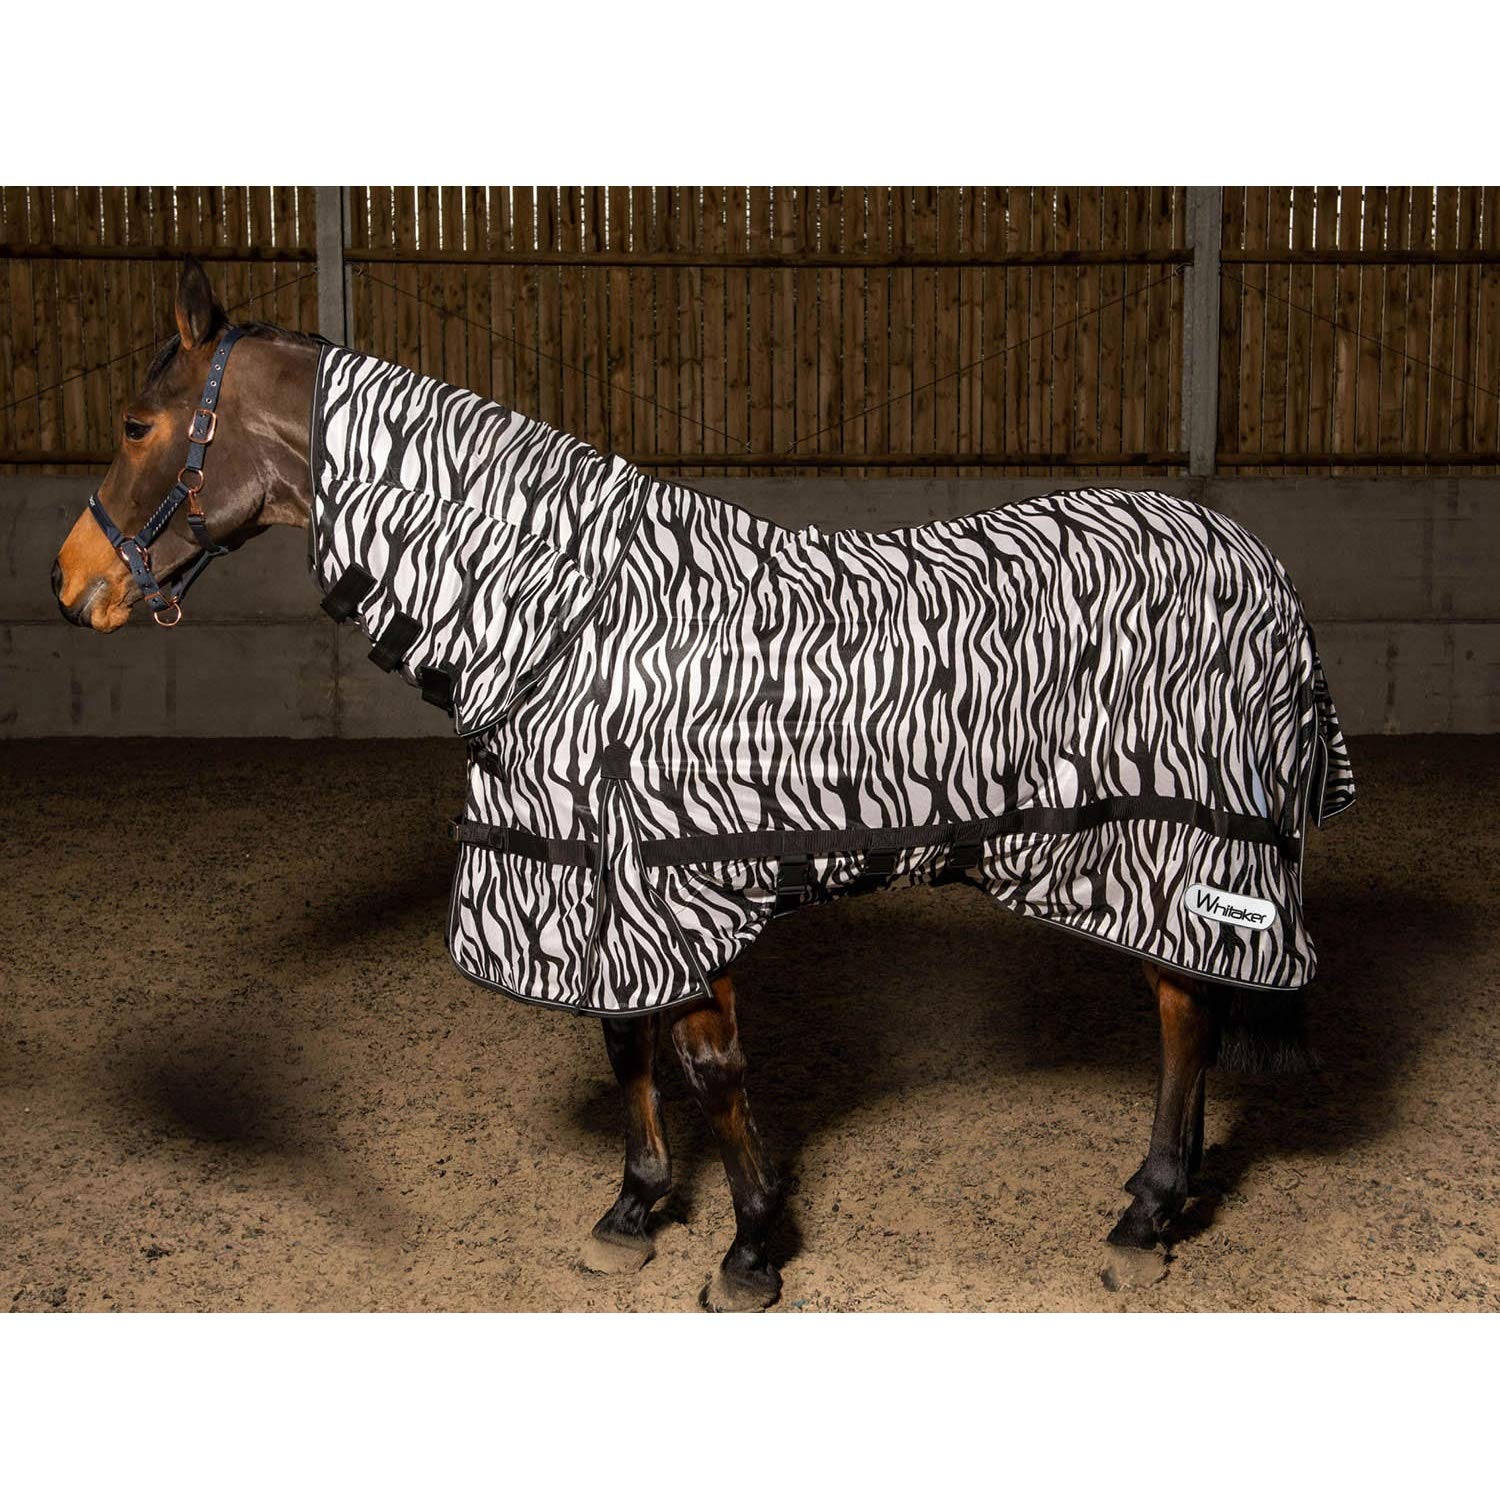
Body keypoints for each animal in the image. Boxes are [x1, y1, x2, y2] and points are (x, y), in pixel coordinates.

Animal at [53, 257, 1352, 1309]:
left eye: (134, 422)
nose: (72, 587)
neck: (566, 614)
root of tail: (1257, 560)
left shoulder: (683, 881)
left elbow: (710, 1068)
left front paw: (751, 1252)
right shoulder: (593, 878)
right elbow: (625, 1043)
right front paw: (634, 1213)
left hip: (1180, 845)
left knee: (1187, 1009)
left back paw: (1145, 1218)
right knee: (1200, 1000)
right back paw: (1160, 1202)